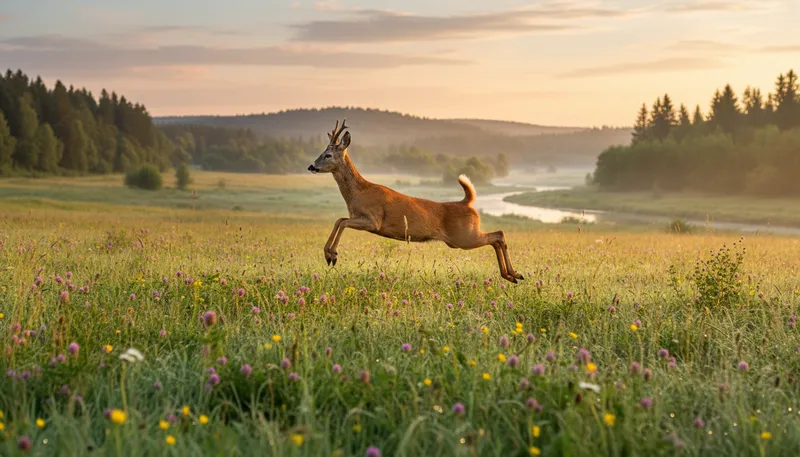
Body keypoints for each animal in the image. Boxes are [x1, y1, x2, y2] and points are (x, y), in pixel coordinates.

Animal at [307, 119, 525, 283]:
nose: (311, 166)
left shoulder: (373, 220)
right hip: (460, 239)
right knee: (496, 237)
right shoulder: (360, 218)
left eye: (327, 155)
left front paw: (332, 255)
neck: (358, 192)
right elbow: (339, 220)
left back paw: (513, 274)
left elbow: (342, 222)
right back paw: (511, 276)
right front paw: (328, 254)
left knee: (498, 234)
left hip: (464, 236)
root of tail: (467, 202)